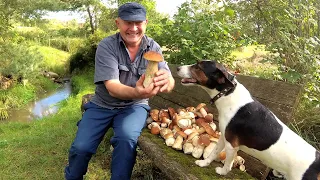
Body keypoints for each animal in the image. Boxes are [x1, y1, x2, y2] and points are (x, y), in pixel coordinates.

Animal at [176, 60, 318, 180]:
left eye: (198, 67)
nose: (177, 68)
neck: (228, 93)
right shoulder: (223, 137)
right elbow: (213, 152)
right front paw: (204, 163)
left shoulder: (231, 145)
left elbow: (228, 163)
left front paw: (222, 172)